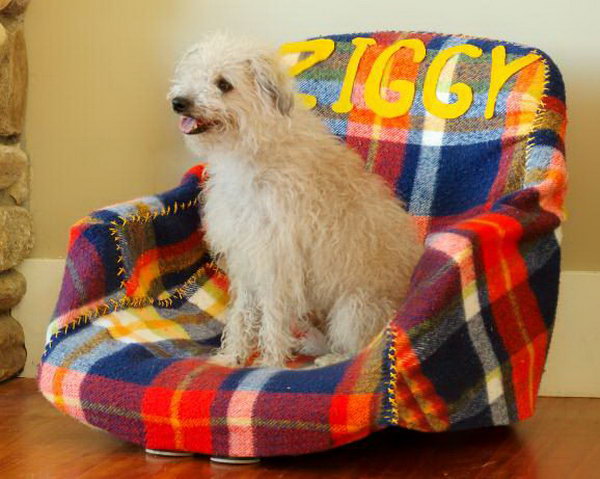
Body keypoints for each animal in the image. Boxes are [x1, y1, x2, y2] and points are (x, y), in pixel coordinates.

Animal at [168, 33, 422, 370]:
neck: (252, 149)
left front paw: (268, 363)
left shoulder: (277, 261)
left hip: (353, 308)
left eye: (223, 84)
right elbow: (242, 314)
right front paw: (233, 356)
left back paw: (328, 358)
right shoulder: (246, 255)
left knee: (361, 350)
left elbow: (272, 319)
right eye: (193, 74)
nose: (179, 102)